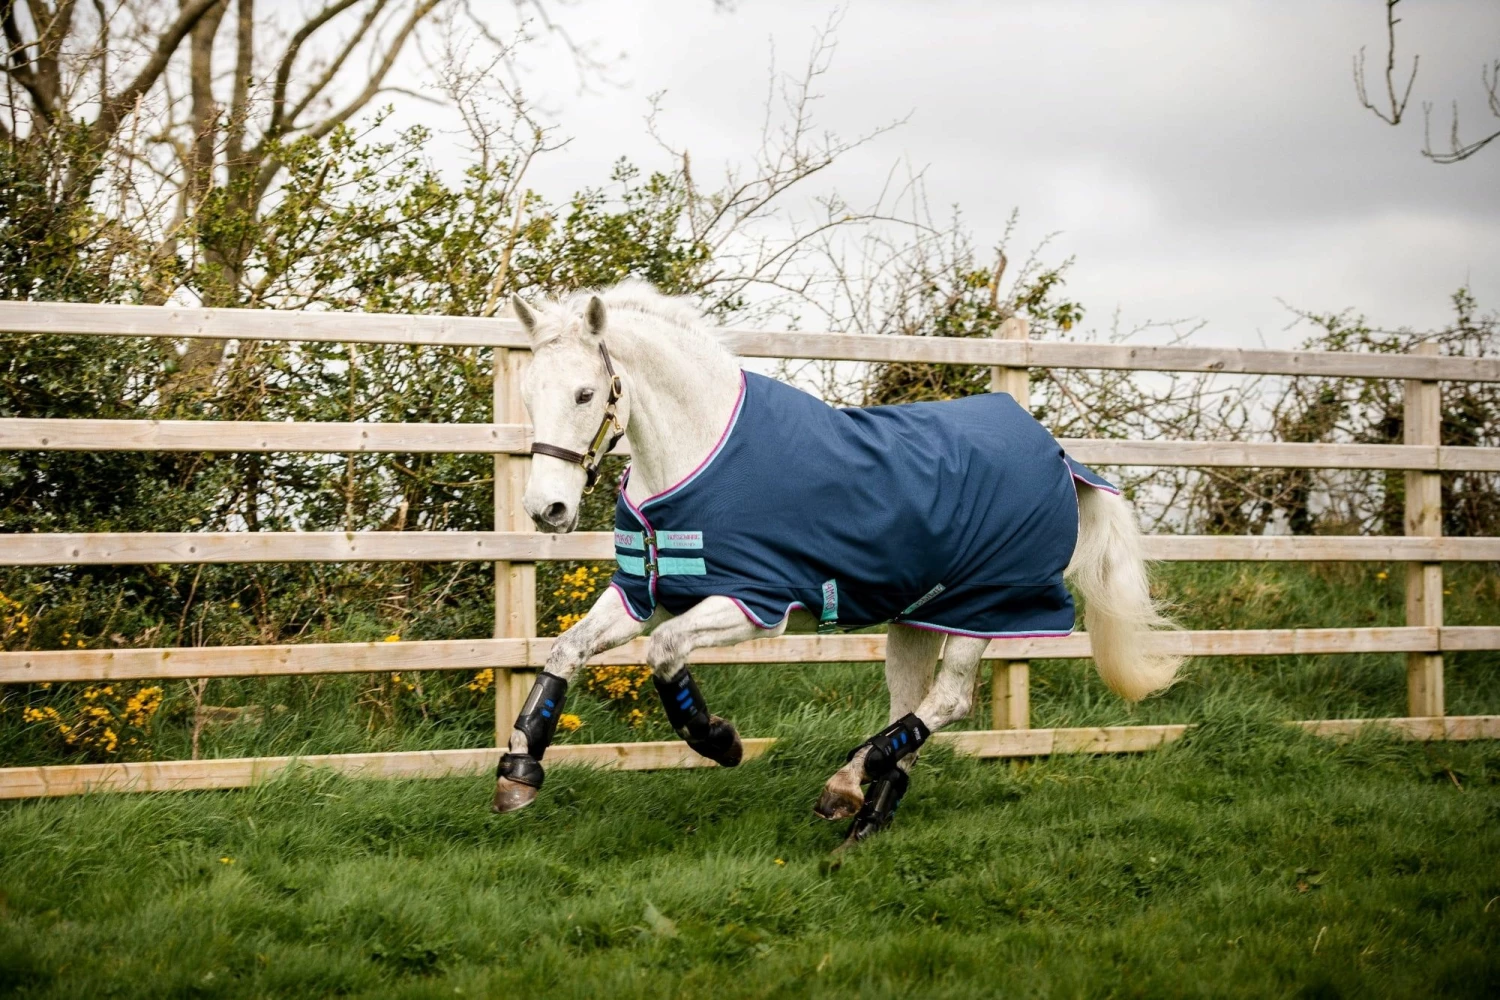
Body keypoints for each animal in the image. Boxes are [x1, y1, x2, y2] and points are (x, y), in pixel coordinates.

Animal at [492, 282, 1182, 842]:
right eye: (529, 393)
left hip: (988, 609)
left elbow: (664, 653)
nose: (547, 509)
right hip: (917, 619)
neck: (699, 457)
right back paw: (866, 813)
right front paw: (518, 773)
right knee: (913, 704)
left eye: (585, 393)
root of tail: (1062, 457)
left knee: (949, 701)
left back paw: (846, 783)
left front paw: (720, 741)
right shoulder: (642, 593)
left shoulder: (755, 603)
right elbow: (564, 650)